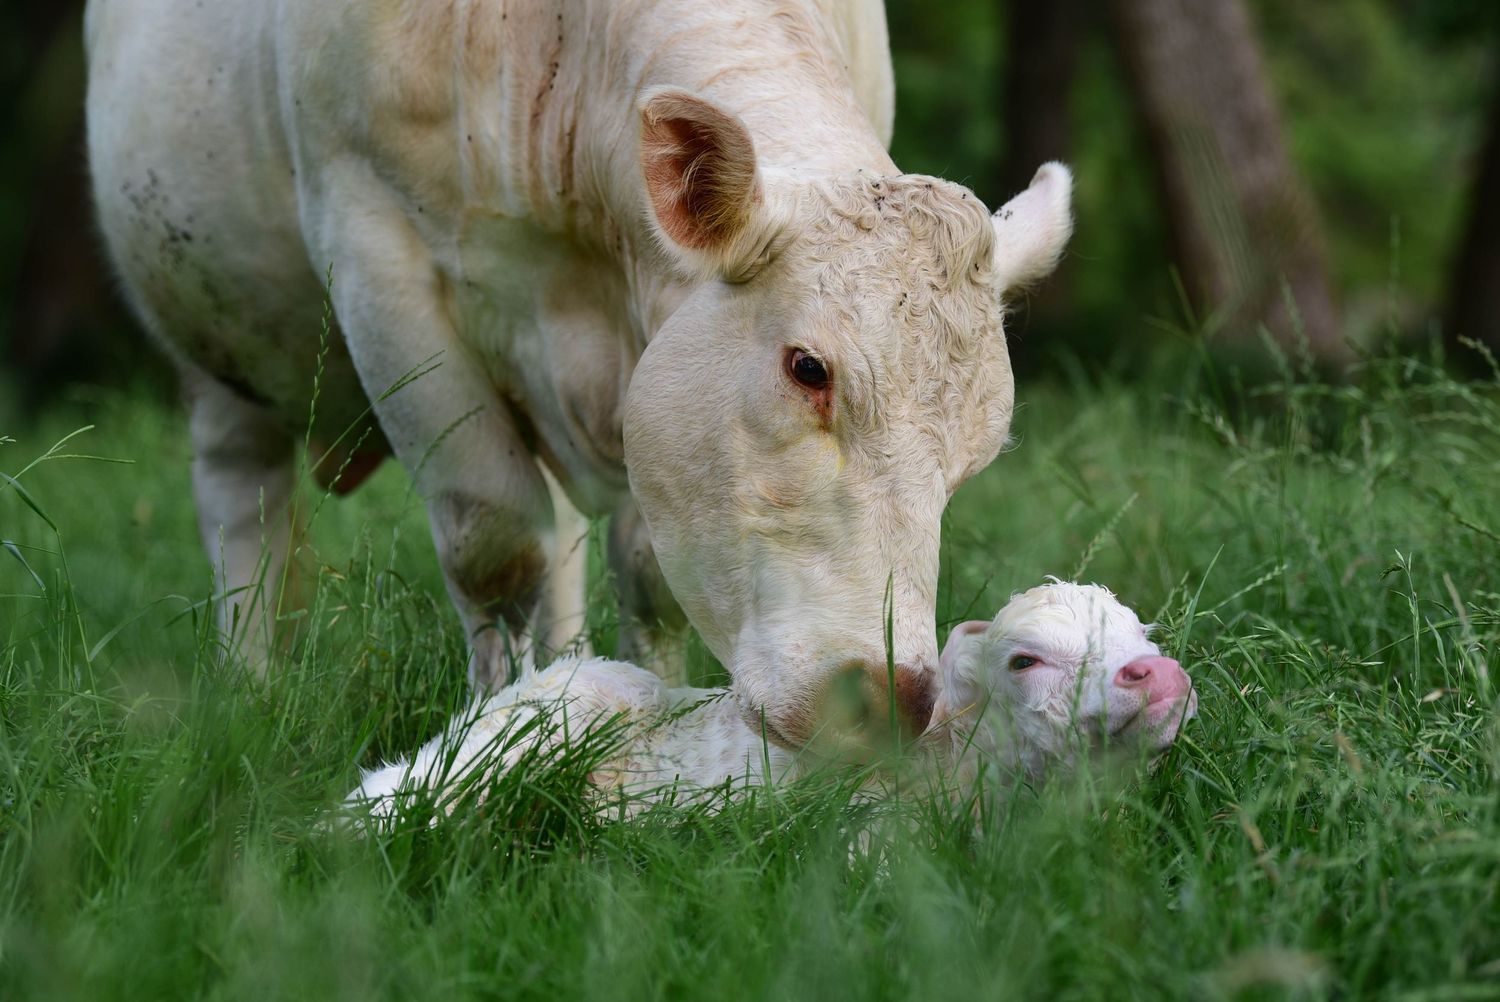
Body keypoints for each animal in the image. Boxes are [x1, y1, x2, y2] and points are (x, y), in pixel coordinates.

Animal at [84, 0, 1074, 749]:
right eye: (808, 368)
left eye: (977, 451)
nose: (890, 701)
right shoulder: (377, 262)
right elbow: (493, 545)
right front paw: (488, 725)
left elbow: (642, 573)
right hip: (215, 350)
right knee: (244, 509)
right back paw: (247, 689)